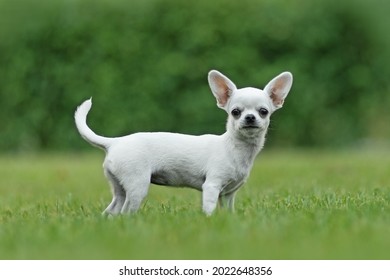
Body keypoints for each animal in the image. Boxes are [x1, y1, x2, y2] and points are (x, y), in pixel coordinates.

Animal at [74, 69, 290, 214]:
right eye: (235, 112)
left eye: (263, 112)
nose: (250, 118)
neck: (235, 147)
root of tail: (115, 142)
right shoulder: (211, 187)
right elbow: (209, 210)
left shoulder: (228, 195)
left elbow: (228, 212)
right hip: (137, 186)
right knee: (125, 212)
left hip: (120, 189)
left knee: (111, 212)